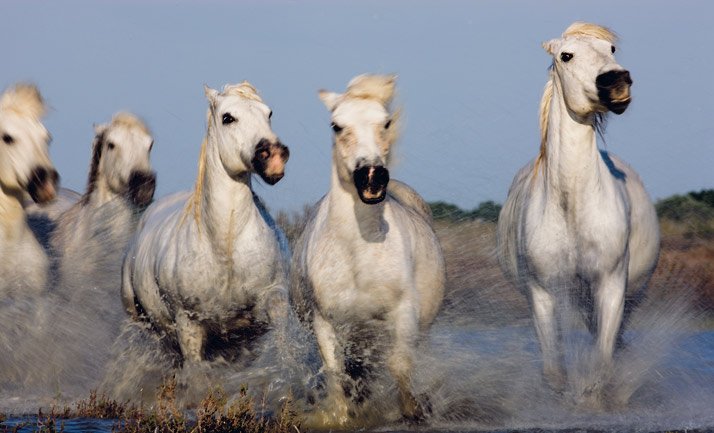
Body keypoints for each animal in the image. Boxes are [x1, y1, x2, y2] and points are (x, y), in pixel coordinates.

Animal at [121, 82, 290, 364]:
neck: (225, 245)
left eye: (269, 113)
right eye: (228, 118)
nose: (274, 156)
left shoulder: (274, 304)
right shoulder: (188, 325)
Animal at [290, 74, 445, 425]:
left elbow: (399, 363)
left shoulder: (403, 313)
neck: (356, 254)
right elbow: (336, 371)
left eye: (385, 122)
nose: (372, 177)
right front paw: (340, 416)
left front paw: (413, 409)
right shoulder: (326, 322)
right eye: (336, 125)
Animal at [496, 22, 659, 403]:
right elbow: (554, 370)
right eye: (566, 55)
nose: (616, 81)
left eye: (611, 49)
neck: (571, 207)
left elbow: (602, 363)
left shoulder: (610, 287)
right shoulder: (543, 292)